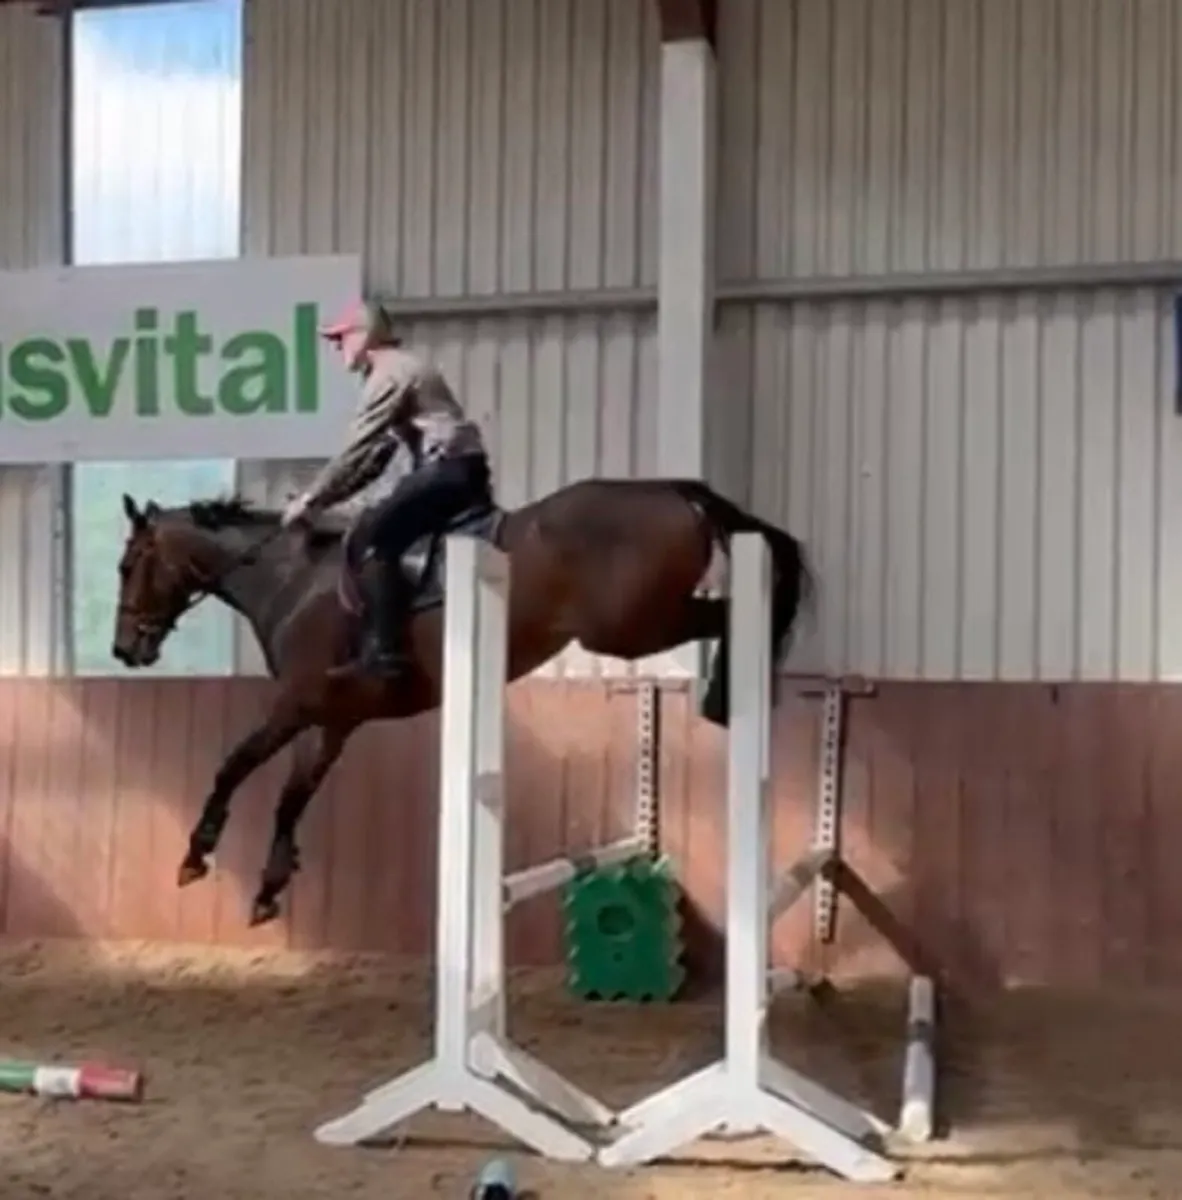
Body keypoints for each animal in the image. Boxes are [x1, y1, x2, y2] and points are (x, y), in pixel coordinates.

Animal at [112, 476, 814, 927]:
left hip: (629, 626)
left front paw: (196, 854)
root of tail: (675, 493)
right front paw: (268, 887)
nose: (124, 649)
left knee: (727, 614)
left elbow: (233, 764)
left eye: (127, 566)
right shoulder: (335, 720)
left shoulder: (298, 702)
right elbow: (292, 794)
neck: (292, 579)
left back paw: (729, 688)